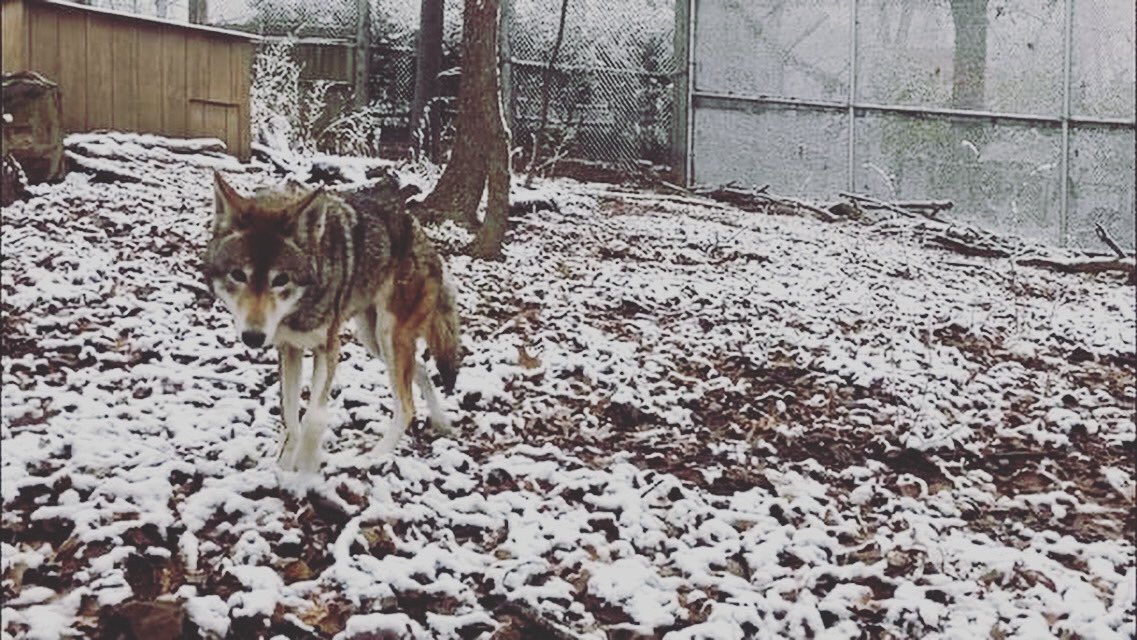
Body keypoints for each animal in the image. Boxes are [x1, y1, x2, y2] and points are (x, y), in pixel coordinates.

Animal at [204, 170, 460, 472]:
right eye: (238, 275)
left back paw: (374, 456)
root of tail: (429, 245)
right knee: (419, 369)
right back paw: (442, 422)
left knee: (406, 405)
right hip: (372, 339)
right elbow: (290, 417)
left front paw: (304, 469)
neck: (302, 307)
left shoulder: (328, 346)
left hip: (388, 337)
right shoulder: (289, 349)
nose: (253, 337)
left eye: (280, 280)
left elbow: (313, 417)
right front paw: (284, 465)